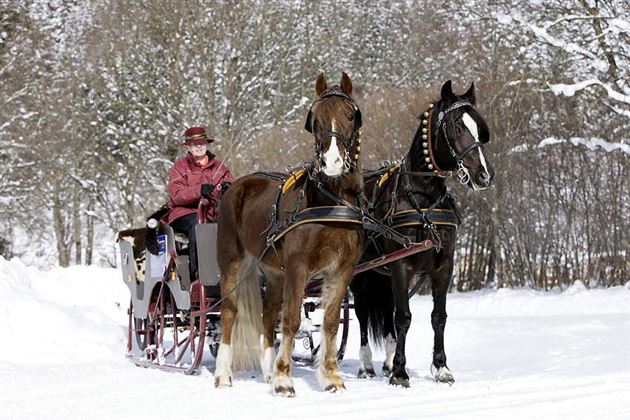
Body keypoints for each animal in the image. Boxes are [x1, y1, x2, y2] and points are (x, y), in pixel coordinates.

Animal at [216, 73, 366, 398]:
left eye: (350, 116)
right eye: (316, 119)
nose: (332, 163)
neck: (330, 204)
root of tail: (235, 186)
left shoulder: (341, 270)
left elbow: (331, 323)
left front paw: (331, 377)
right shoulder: (298, 267)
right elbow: (293, 320)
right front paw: (285, 379)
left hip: (274, 273)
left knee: (268, 315)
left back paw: (268, 373)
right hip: (232, 261)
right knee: (230, 312)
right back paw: (224, 374)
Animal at [354, 81, 496, 388]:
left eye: (479, 127)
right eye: (457, 127)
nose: (484, 176)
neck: (423, 198)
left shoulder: (444, 265)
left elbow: (437, 317)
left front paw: (441, 368)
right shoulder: (400, 265)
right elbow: (404, 317)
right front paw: (400, 372)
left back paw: (386, 362)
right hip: (360, 276)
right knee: (360, 313)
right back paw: (366, 365)